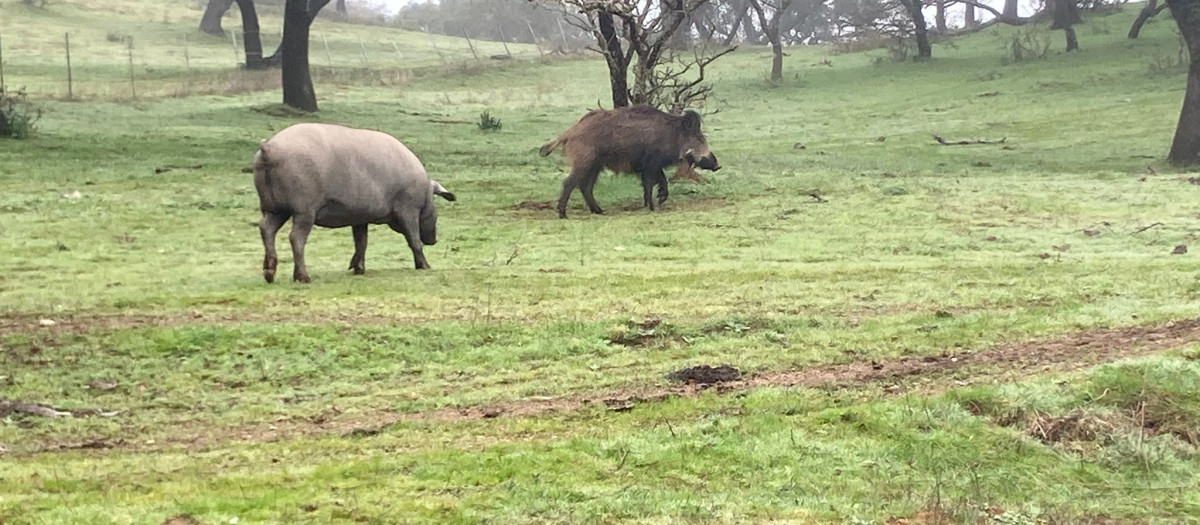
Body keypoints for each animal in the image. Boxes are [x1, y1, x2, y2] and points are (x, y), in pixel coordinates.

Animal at [252, 123, 456, 283]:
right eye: (435, 205)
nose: (434, 240)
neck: (423, 190)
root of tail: (268, 148)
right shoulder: (408, 209)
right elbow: (413, 239)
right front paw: (426, 267)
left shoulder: (360, 217)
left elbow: (361, 242)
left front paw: (358, 270)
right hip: (304, 210)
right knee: (296, 237)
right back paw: (303, 277)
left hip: (274, 209)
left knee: (266, 228)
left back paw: (269, 275)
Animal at [538, 105, 720, 219]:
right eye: (699, 138)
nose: (718, 165)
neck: (672, 136)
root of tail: (569, 132)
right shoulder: (650, 165)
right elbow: (650, 184)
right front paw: (652, 207)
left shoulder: (652, 166)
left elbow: (660, 181)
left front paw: (657, 202)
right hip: (584, 161)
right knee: (569, 183)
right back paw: (563, 215)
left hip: (595, 166)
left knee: (585, 186)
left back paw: (600, 211)